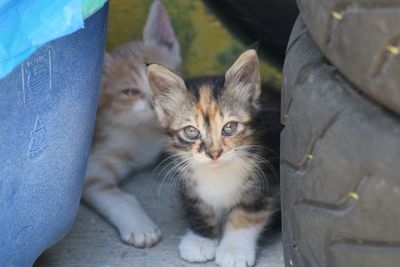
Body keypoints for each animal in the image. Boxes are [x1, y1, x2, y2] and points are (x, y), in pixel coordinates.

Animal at [147, 50, 282, 267]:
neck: (218, 172)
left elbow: (248, 213)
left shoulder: (267, 177)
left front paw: (234, 250)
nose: (214, 153)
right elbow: (197, 207)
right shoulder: (186, 180)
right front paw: (201, 239)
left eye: (229, 127)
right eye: (191, 131)